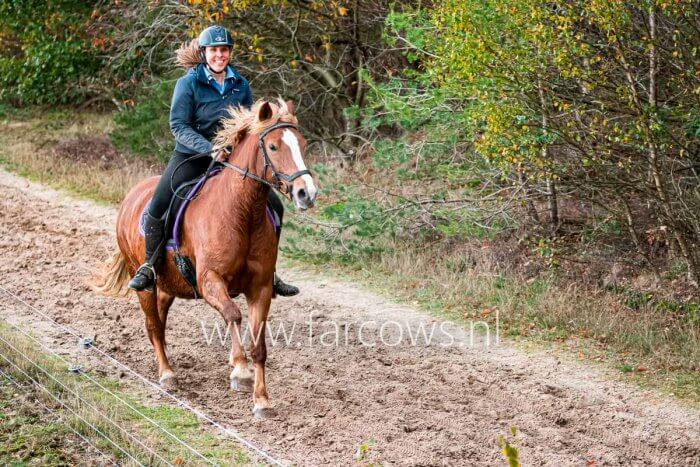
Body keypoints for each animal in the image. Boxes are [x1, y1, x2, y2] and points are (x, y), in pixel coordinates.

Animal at [94, 100, 318, 418]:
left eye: (302, 144)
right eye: (273, 147)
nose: (306, 193)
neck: (242, 213)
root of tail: (131, 197)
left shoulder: (261, 288)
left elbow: (259, 345)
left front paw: (262, 401)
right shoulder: (210, 280)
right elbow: (233, 314)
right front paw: (240, 371)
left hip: (169, 285)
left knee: (160, 321)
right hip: (144, 282)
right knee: (153, 325)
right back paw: (167, 374)